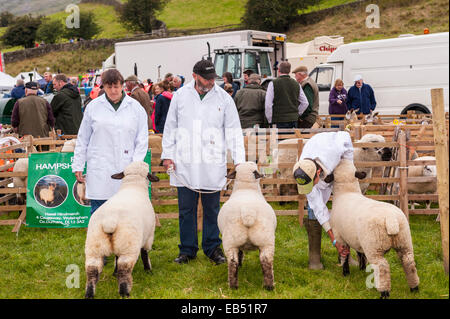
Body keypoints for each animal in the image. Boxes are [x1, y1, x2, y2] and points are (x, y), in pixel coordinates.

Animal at [84, 162, 160, 300]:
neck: (133, 186)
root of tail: (110, 221)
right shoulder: (149, 237)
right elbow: (145, 253)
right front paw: (148, 270)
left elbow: (116, 256)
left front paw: (114, 273)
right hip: (128, 245)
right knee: (124, 269)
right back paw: (125, 293)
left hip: (94, 245)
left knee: (92, 269)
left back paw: (89, 294)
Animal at [219, 164, 278, 292]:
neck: (246, 188)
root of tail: (248, 212)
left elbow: (240, 253)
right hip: (266, 241)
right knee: (266, 262)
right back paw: (269, 286)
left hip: (231, 242)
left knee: (232, 263)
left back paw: (233, 286)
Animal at [328, 160, 420, 300]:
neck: (347, 192)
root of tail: (391, 219)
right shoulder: (357, 239)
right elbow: (360, 253)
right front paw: (361, 268)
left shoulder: (340, 236)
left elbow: (345, 255)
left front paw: (345, 272)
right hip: (404, 242)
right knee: (409, 262)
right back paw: (414, 288)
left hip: (374, 246)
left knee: (382, 267)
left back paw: (384, 292)